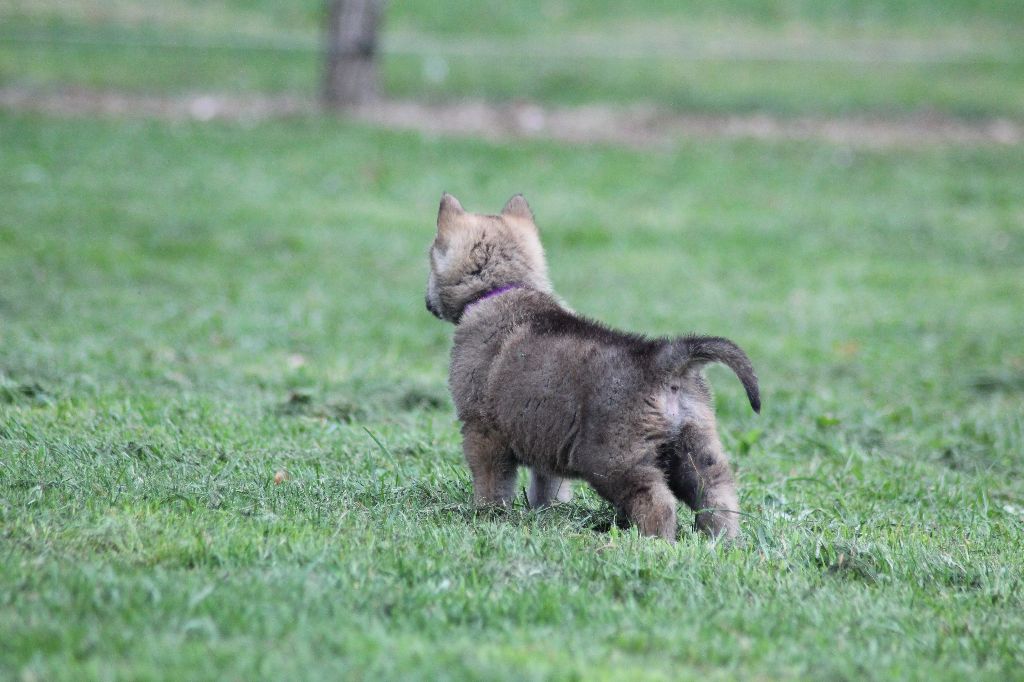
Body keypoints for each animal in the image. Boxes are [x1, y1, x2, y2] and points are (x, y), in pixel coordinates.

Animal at [425, 192, 760, 541]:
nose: (427, 302)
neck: (502, 289)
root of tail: (662, 358)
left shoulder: (481, 431)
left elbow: (492, 484)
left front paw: (486, 515)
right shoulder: (544, 440)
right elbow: (547, 487)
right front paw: (544, 515)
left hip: (612, 460)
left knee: (657, 501)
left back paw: (654, 543)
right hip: (694, 448)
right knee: (717, 494)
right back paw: (723, 541)